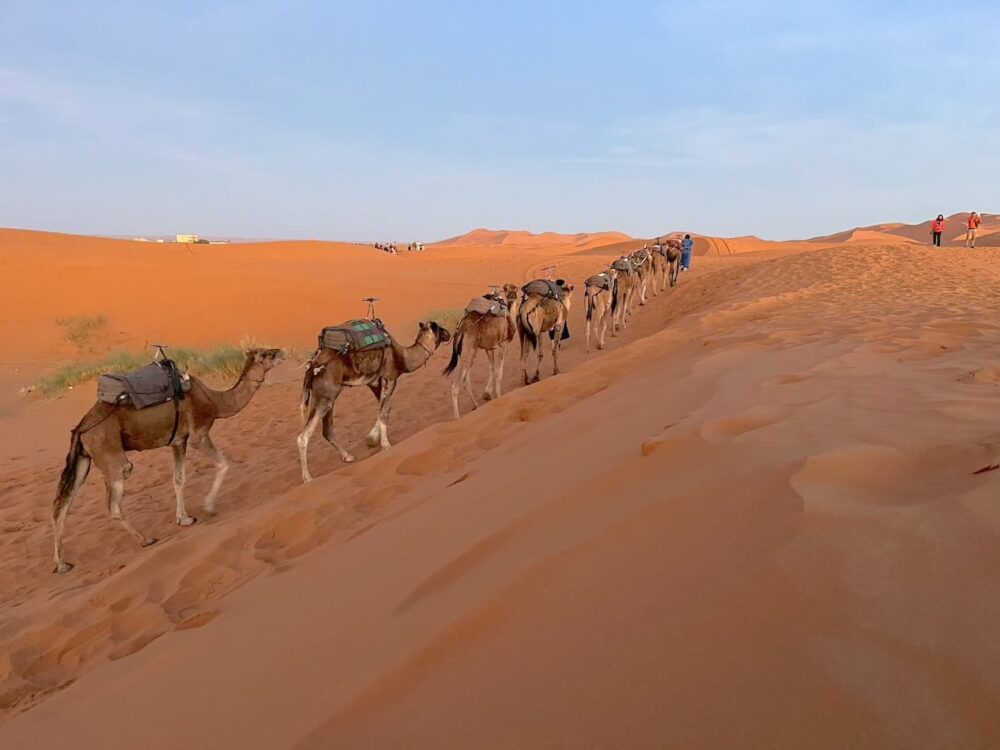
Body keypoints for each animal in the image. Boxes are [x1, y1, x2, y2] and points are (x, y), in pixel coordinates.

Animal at [51, 350, 286, 572]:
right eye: (266, 354)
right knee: (113, 503)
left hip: (83, 459)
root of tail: (82, 427)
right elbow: (223, 463)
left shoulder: (178, 441)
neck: (215, 401)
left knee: (61, 506)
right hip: (110, 454)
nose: (282, 352)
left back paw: (62, 564)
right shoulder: (198, 434)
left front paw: (184, 518)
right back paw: (146, 539)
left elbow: (178, 479)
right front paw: (208, 507)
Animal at [296, 320, 450, 484]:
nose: (448, 334)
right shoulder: (390, 378)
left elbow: (384, 410)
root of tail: (312, 366)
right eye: (439, 328)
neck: (402, 357)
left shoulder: (375, 382)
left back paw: (348, 456)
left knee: (327, 430)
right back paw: (308, 478)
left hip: (328, 396)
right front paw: (385, 445)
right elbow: (383, 412)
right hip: (324, 395)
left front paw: (372, 439)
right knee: (303, 437)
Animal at [446, 284, 524, 420]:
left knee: (465, 379)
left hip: (464, 352)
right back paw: (457, 418)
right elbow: (499, 371)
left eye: (516, 289)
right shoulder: (504, 344)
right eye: (507, 288)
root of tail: (462, 328)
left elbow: (492, 368)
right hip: (469, 350)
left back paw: (476, 405)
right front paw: (498, 395)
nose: (512, 295)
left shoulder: (489, 347)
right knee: (456, 385)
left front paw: (488, 394)